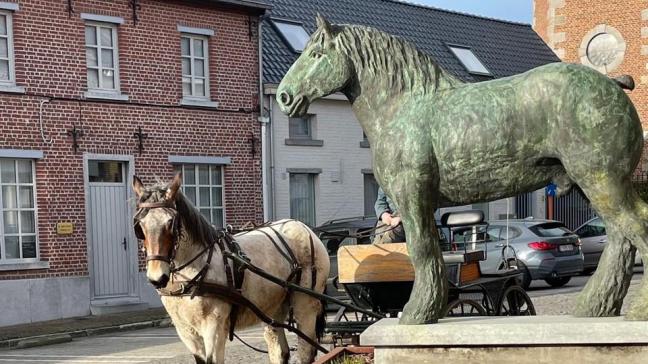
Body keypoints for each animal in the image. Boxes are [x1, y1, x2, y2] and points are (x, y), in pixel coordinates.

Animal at [131, 174, 330, 364]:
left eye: (171, 222)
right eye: (139, 225)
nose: (157, 278)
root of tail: (306, 229)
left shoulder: (214, 326)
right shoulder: (186, 331)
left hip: (305, 305)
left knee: (305, 350)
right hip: (273, 308)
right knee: (279, 351)